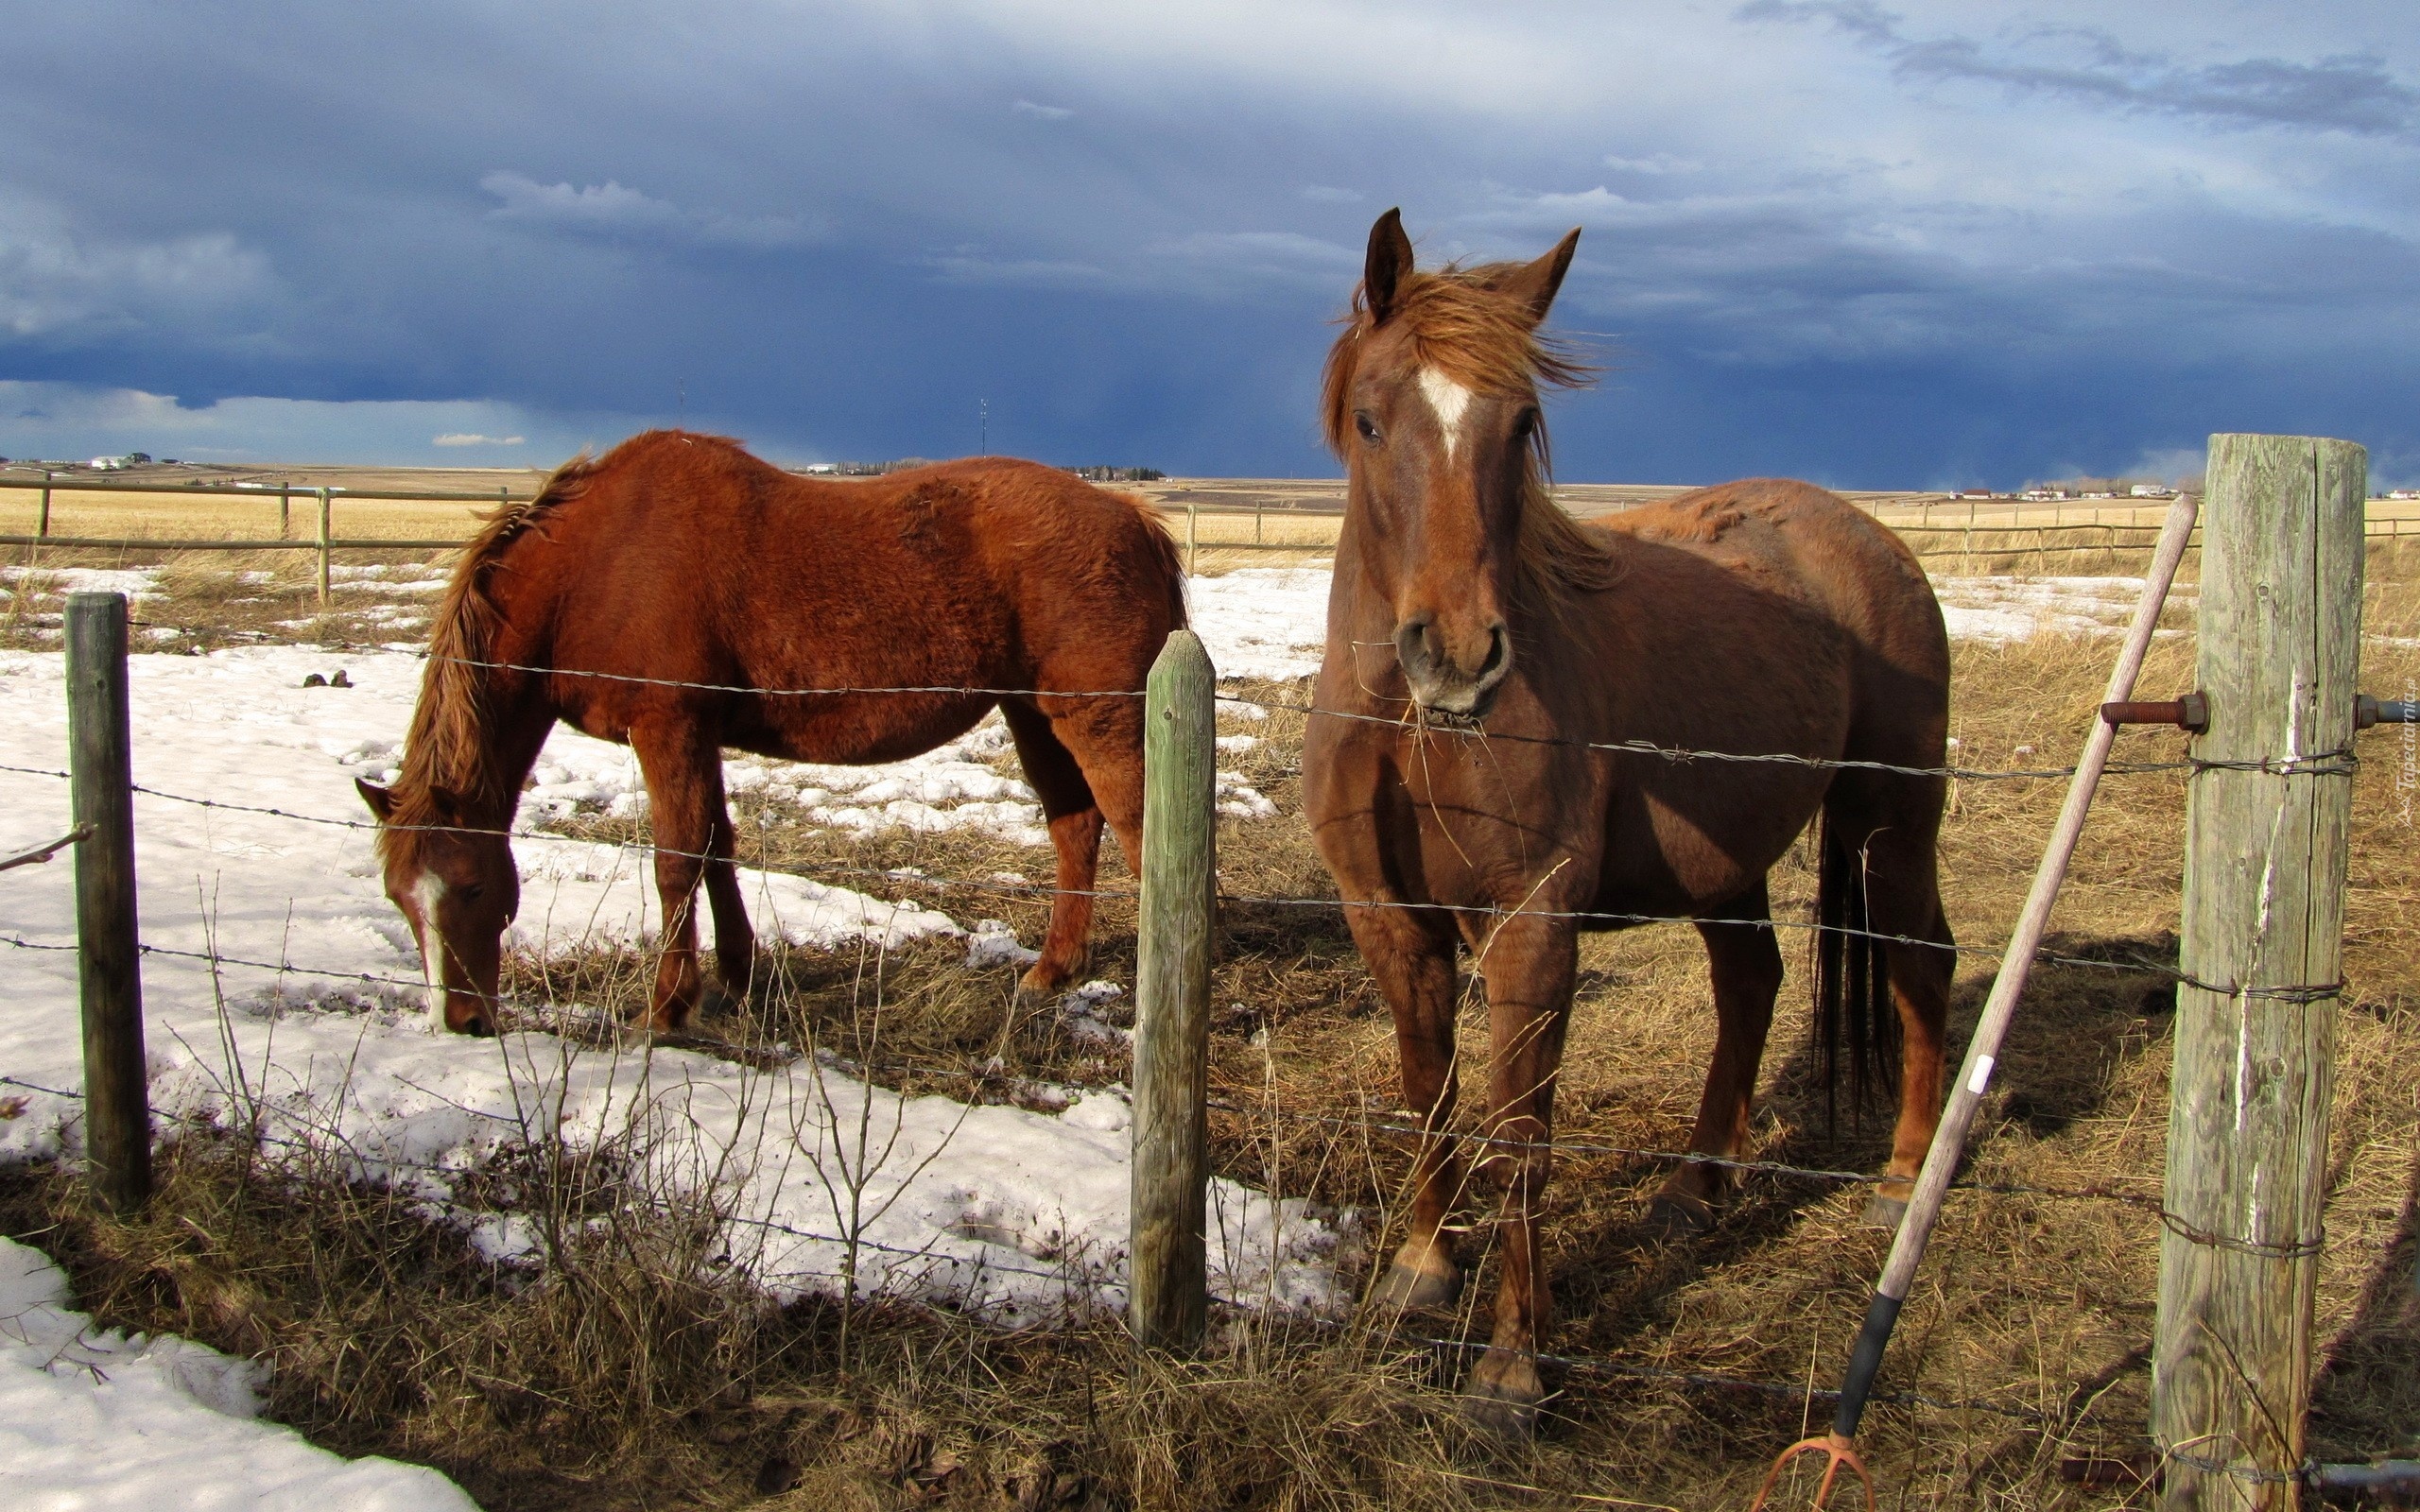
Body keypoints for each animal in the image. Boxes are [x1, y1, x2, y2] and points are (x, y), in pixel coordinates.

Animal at [355, 430, 1181, 1030]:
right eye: (399, 898)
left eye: (469, 887)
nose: (460, 1021)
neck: (593, 562)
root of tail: (1132, 518)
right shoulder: (701, 737)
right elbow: (717, 847)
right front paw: (737, 975)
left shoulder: (668, 728)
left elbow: (676, 861)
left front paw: (668, 1007)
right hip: (1032, 712)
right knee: (1074, 827)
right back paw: (1051, 970)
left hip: (1098, 721)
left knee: (1141, 834)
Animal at [1297, 213, 1955, 1422]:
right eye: (1371, 417)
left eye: (1520, 424)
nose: (1457, 655)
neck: (1407, 723)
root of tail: (1870, 538)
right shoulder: (1387, 918)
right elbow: (1427, 1090)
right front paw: (1421, 1267)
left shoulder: (1531, 925)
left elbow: (1522, 1131)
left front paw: (1511, 1369)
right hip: (1732, 864)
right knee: (1751, 984)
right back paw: (1694, 1189)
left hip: (1891, 823)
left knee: (1918, 962)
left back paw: (1899, 1181)